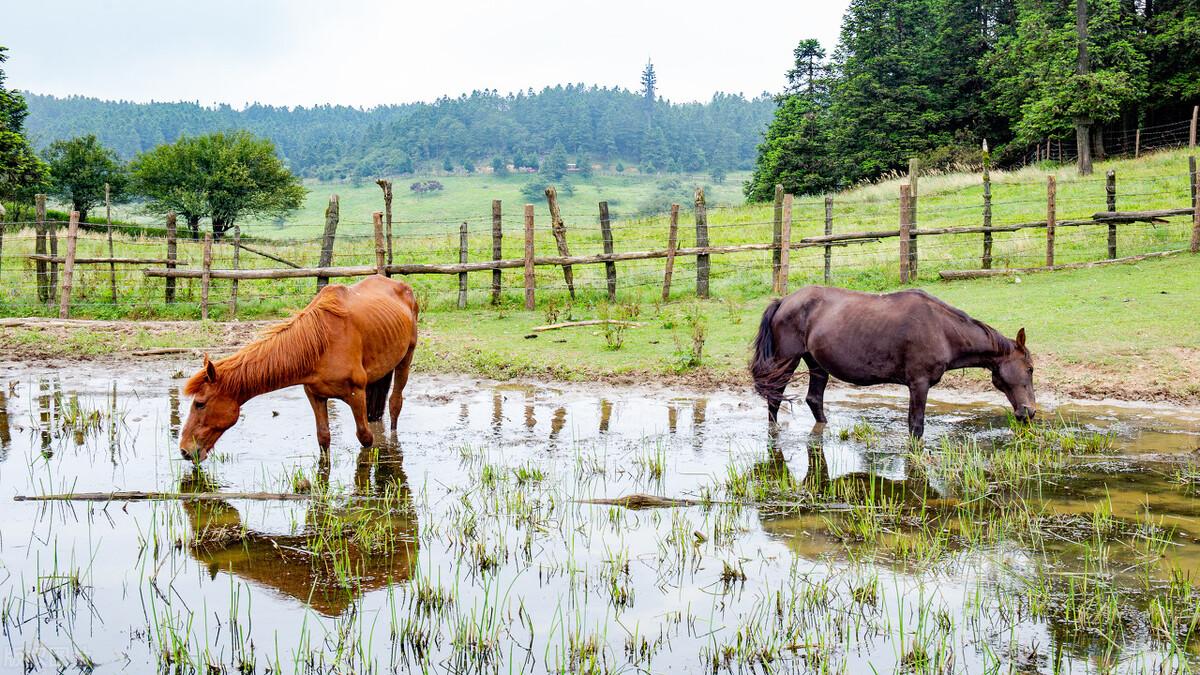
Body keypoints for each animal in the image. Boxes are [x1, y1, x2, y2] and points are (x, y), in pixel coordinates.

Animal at [178, 271, 417, 456]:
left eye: (200, 403)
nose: (184, 450)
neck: (321, 344)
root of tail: (400, 285)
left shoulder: (356, 394)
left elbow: (365, 438)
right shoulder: (315, 395)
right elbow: (323, 438)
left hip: (406, 358)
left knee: (395, 404)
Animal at [748, 284, 1032, 437]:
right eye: (1029, 369)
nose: (1028, 412)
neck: (941, 329)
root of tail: (785, 300)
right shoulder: (919, 384)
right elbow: (916, 426)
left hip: (817, 365)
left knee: (814, 400)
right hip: (786, 361)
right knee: (774, 398)